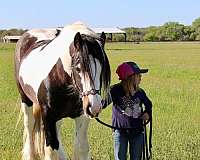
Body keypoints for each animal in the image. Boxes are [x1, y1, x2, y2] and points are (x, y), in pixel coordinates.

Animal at [14, 22, 111, 160]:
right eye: (78, 67)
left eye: (102, 68)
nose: (94, 107)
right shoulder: (48, 116)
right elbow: (50, 149)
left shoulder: (82, 116)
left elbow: (81, 148)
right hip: (26, 99)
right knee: (29, 125)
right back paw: (30, 155)